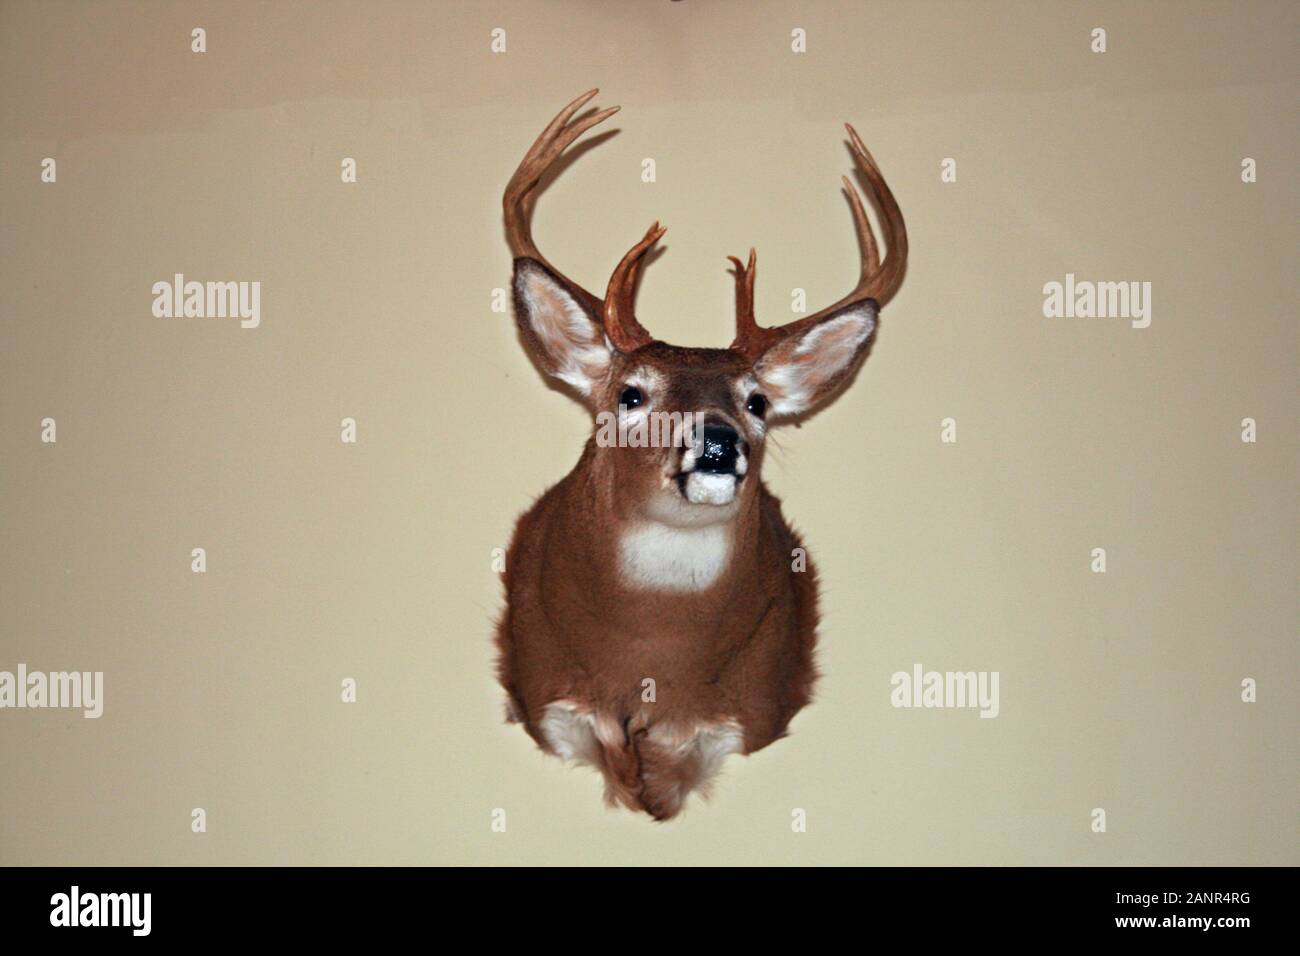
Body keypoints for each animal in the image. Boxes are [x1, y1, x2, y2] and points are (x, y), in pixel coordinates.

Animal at [496, 90, 907, 820]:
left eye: (758, 402)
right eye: (630, 393)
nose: (718, 440)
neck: (652, 657)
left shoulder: (745, 709)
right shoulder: (550, 694)